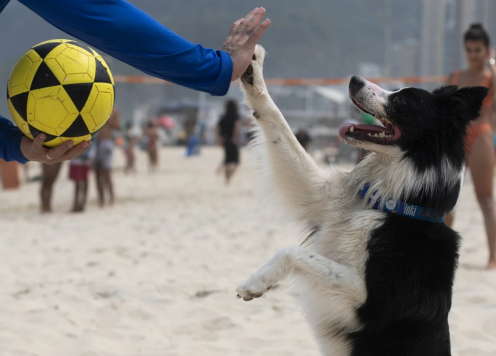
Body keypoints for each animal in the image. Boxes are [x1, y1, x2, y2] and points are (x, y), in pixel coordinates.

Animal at [236, 45, 488, 356]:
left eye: (401, 99)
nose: (354, 79)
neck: (395, 207)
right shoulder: (320, 198)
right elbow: (276, 121)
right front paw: (252, 66)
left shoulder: (370, 303)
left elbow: (293, 251)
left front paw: (255, 282)